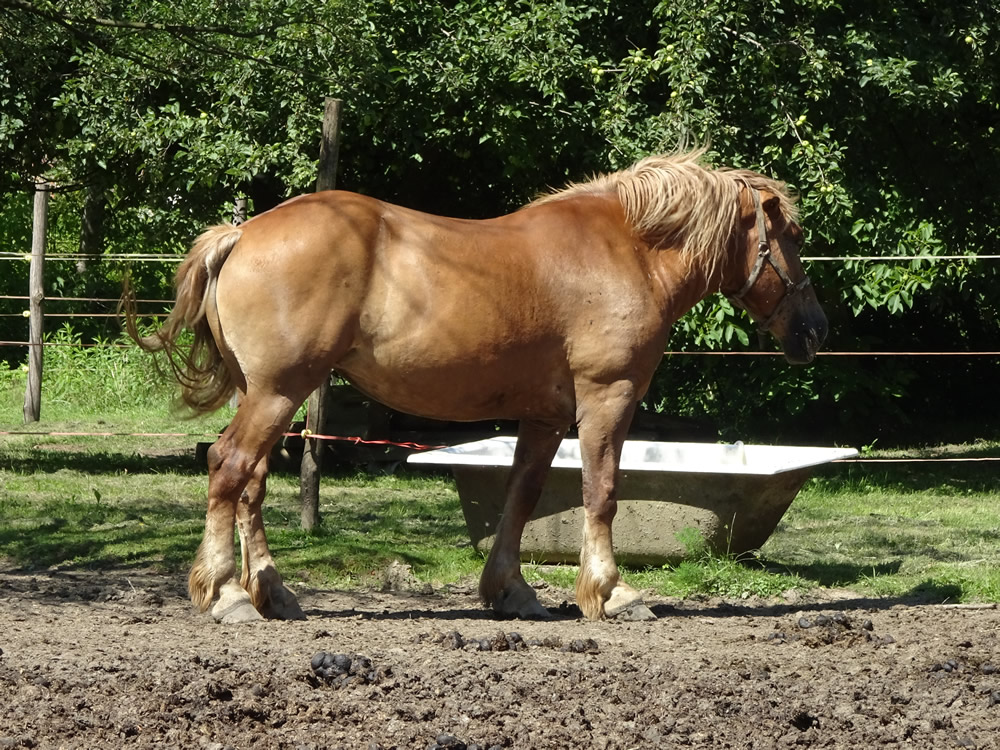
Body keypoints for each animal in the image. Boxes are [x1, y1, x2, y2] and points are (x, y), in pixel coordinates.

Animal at [128, 150, 827, 623]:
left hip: (271, 394)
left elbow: (523, 496)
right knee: (229, 467)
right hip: (278, 390)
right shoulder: (609, 396)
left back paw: (272, 592)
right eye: (791, 238)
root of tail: (242, 233)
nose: (815, 329)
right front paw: (612, 591)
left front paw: (510, 591)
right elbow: (601, 492)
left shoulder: (546, 416)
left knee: (250, 484)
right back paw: (227, 595)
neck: (628, 250)